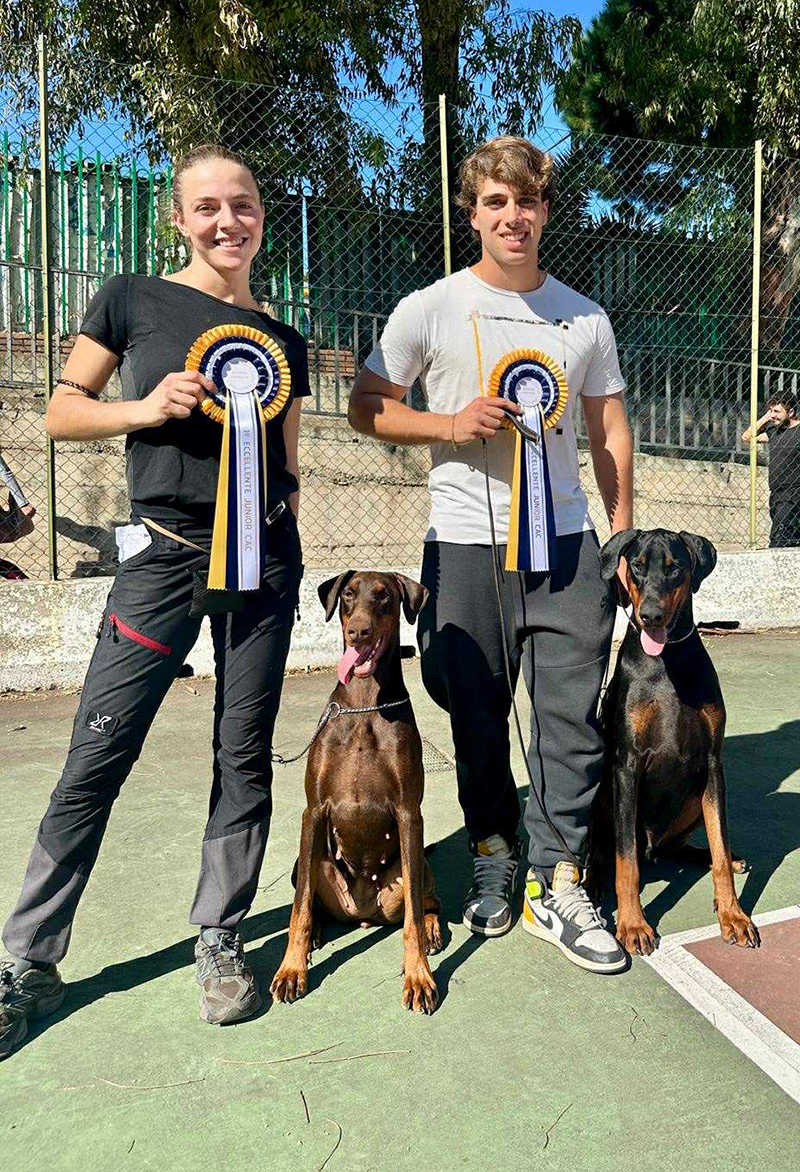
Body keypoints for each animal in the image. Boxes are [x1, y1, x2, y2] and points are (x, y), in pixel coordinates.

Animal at [270, 571, 442, 1014]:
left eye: (383, 597)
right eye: (348, 595)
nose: (358, 631)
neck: (365, 706)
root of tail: (363, 915)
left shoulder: (408, 813)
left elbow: (412, 916)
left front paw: (419, 977)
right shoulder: (313, 811)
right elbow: (299, 909)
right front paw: (292, 969)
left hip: (415, 862)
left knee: (424, 901)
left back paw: (434, 928)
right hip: (305, 860)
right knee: (309, 898)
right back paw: (316, 932)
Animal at [595, 528, 759, 956]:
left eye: (675, 568)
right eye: (637, 566)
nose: (650, 615)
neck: (666, 659)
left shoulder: (713, 764)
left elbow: (719, 844)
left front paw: (733, 915)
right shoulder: (626, 764)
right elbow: (626, 862)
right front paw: (633, 924)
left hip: (695, 797)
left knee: (682, 848)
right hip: (601, 794)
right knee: (611, 851)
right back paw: (595, 881)